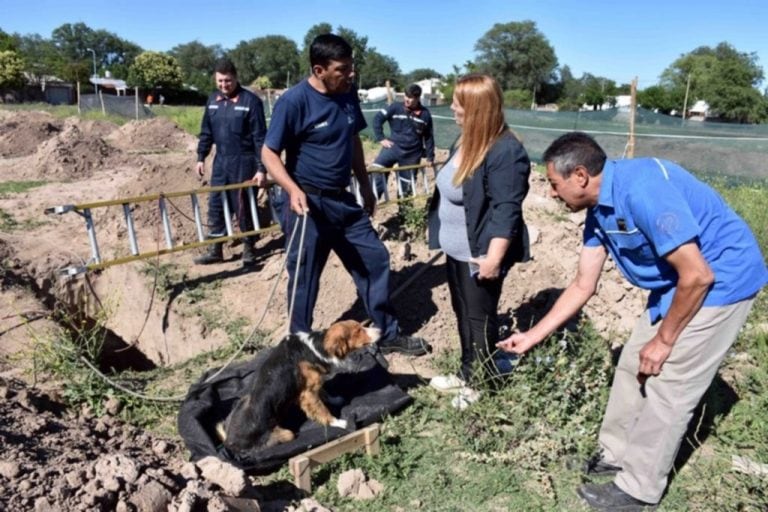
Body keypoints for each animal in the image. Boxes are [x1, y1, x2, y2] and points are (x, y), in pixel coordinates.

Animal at [219, 320, 380, 452]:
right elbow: (322, 410)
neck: (316, 347)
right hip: (285, 434)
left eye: (361, 326)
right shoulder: (307, 394)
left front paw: (334, 399)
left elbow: (324, 392)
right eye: (358, 331)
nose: (380, 330)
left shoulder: (312, 385)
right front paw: (339, 423)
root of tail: (228, 441)